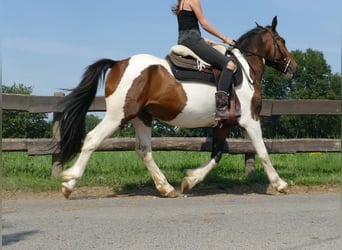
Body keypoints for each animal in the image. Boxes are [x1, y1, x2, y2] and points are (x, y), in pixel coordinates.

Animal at [58, 16, 296, 198]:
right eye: (282, 41)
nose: (294, 67)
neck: (245, 70)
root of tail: (118, 63)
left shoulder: (223, 123)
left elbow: (217, 154)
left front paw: (190, 180)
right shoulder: (250, 119)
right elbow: (262, 151)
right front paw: (280, 184)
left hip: (142, 117)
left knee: (144, 150)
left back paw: (166, 188)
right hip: (118, 116)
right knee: (92, 139)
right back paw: (69, 183)